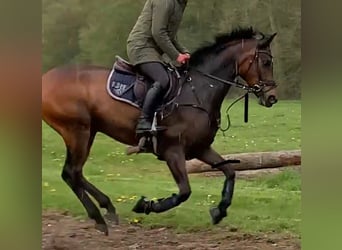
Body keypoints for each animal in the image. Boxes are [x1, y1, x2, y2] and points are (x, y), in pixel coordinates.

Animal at [42, 26, 278, 234]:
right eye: (266, 62)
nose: (272, 98)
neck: (198, 90)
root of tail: (46, 78)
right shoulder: (173, 151)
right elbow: (184, 192)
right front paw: (146, 205)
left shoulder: (200, 148)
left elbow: (230, 172)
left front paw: (219, 211)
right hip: (77, 131)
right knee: (71, 173)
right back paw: (99, 218)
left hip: (89, 132)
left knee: (76, 173)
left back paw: (107, 207)